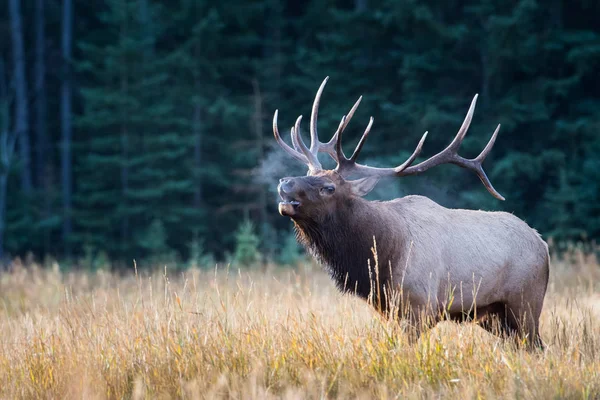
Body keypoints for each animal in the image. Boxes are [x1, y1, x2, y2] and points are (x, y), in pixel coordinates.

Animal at [272, 76, 548, 348]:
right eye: (308, 173)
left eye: (328, 187)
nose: (285, 182)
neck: (382, 254)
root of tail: (542, 244)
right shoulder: (388, 310)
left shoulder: (419, 305)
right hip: (494, 316)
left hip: (525, 302)